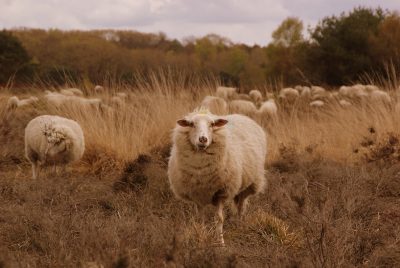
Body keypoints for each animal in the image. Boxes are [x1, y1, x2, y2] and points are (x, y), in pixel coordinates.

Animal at [167, 108, 268, 244]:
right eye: (191, 124)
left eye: (212, 124)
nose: (203, 139)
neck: (202, 171)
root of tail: (241, 115)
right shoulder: (197, 194)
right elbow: (200, 219)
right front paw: (201, 238)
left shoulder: (221, 192)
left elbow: (218, 218)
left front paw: (220, 242)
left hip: (250, 183)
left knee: (241, 206)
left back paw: (240, 225)